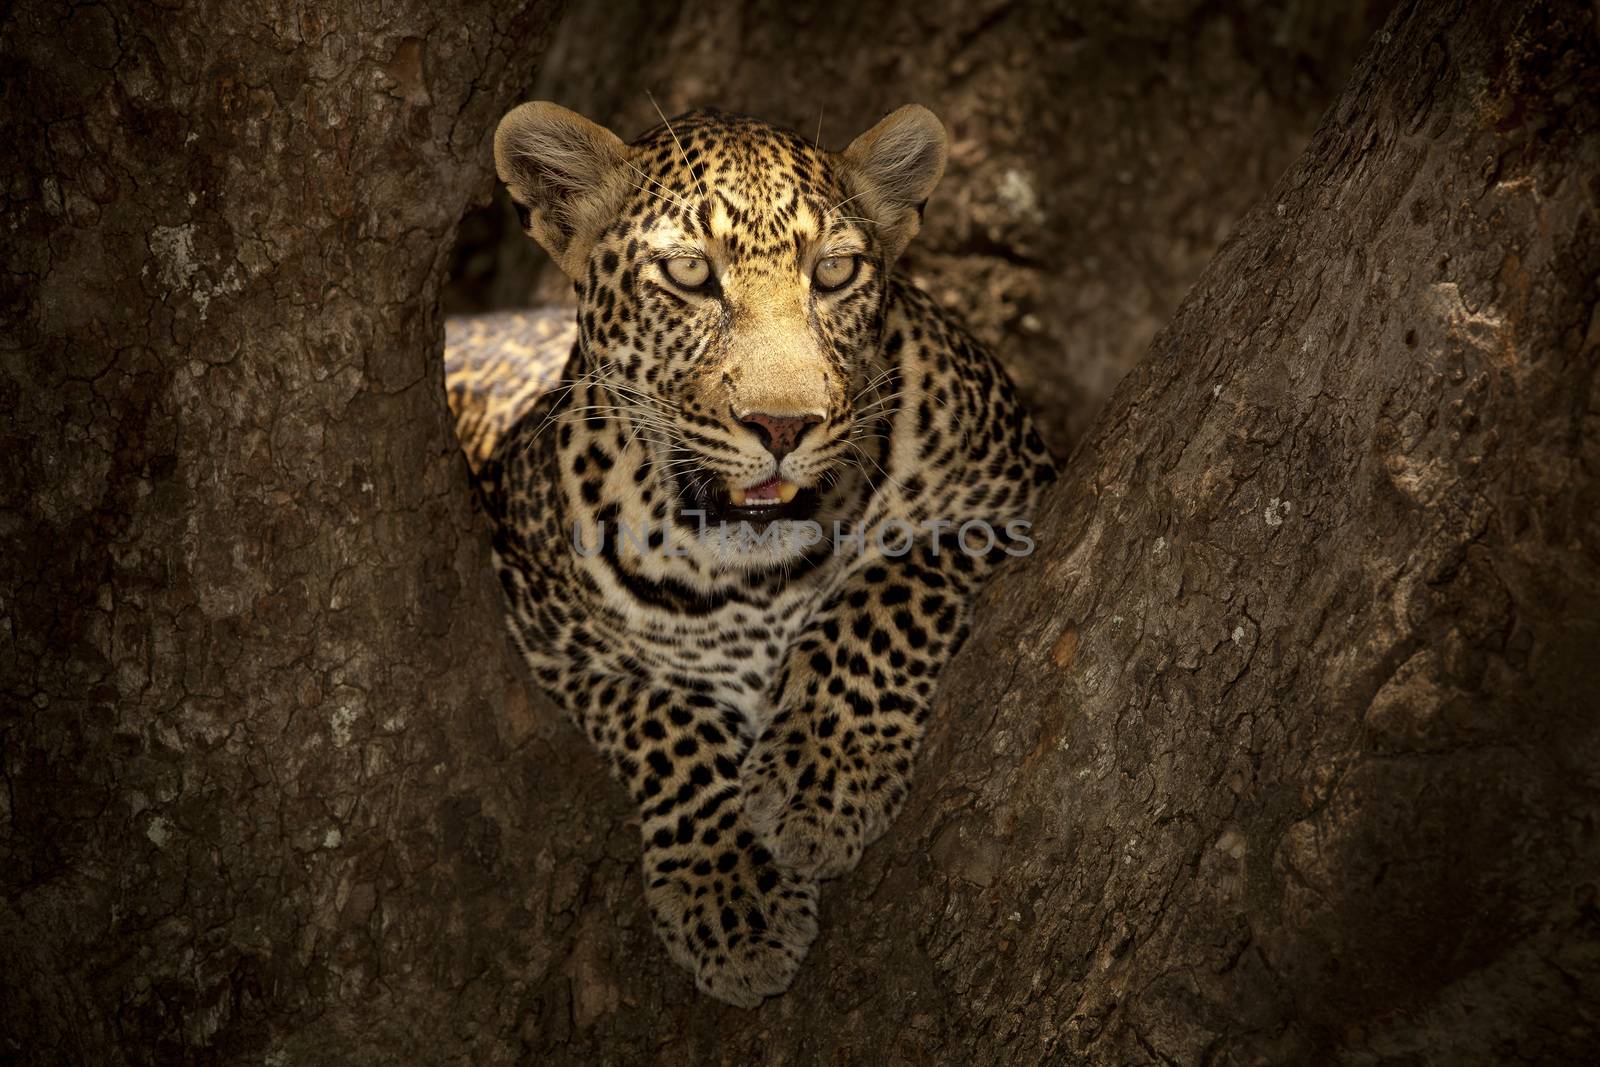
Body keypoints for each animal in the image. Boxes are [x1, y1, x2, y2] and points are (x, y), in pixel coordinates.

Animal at [444, 102, 1056, 1011]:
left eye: (834, 272)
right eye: (691, 274)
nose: (783, 425)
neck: (752, 575)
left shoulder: (1015, 496)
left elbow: (888, 586)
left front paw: (819, 779)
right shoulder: (543, 630)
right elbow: (664, 716)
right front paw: (733, 896)